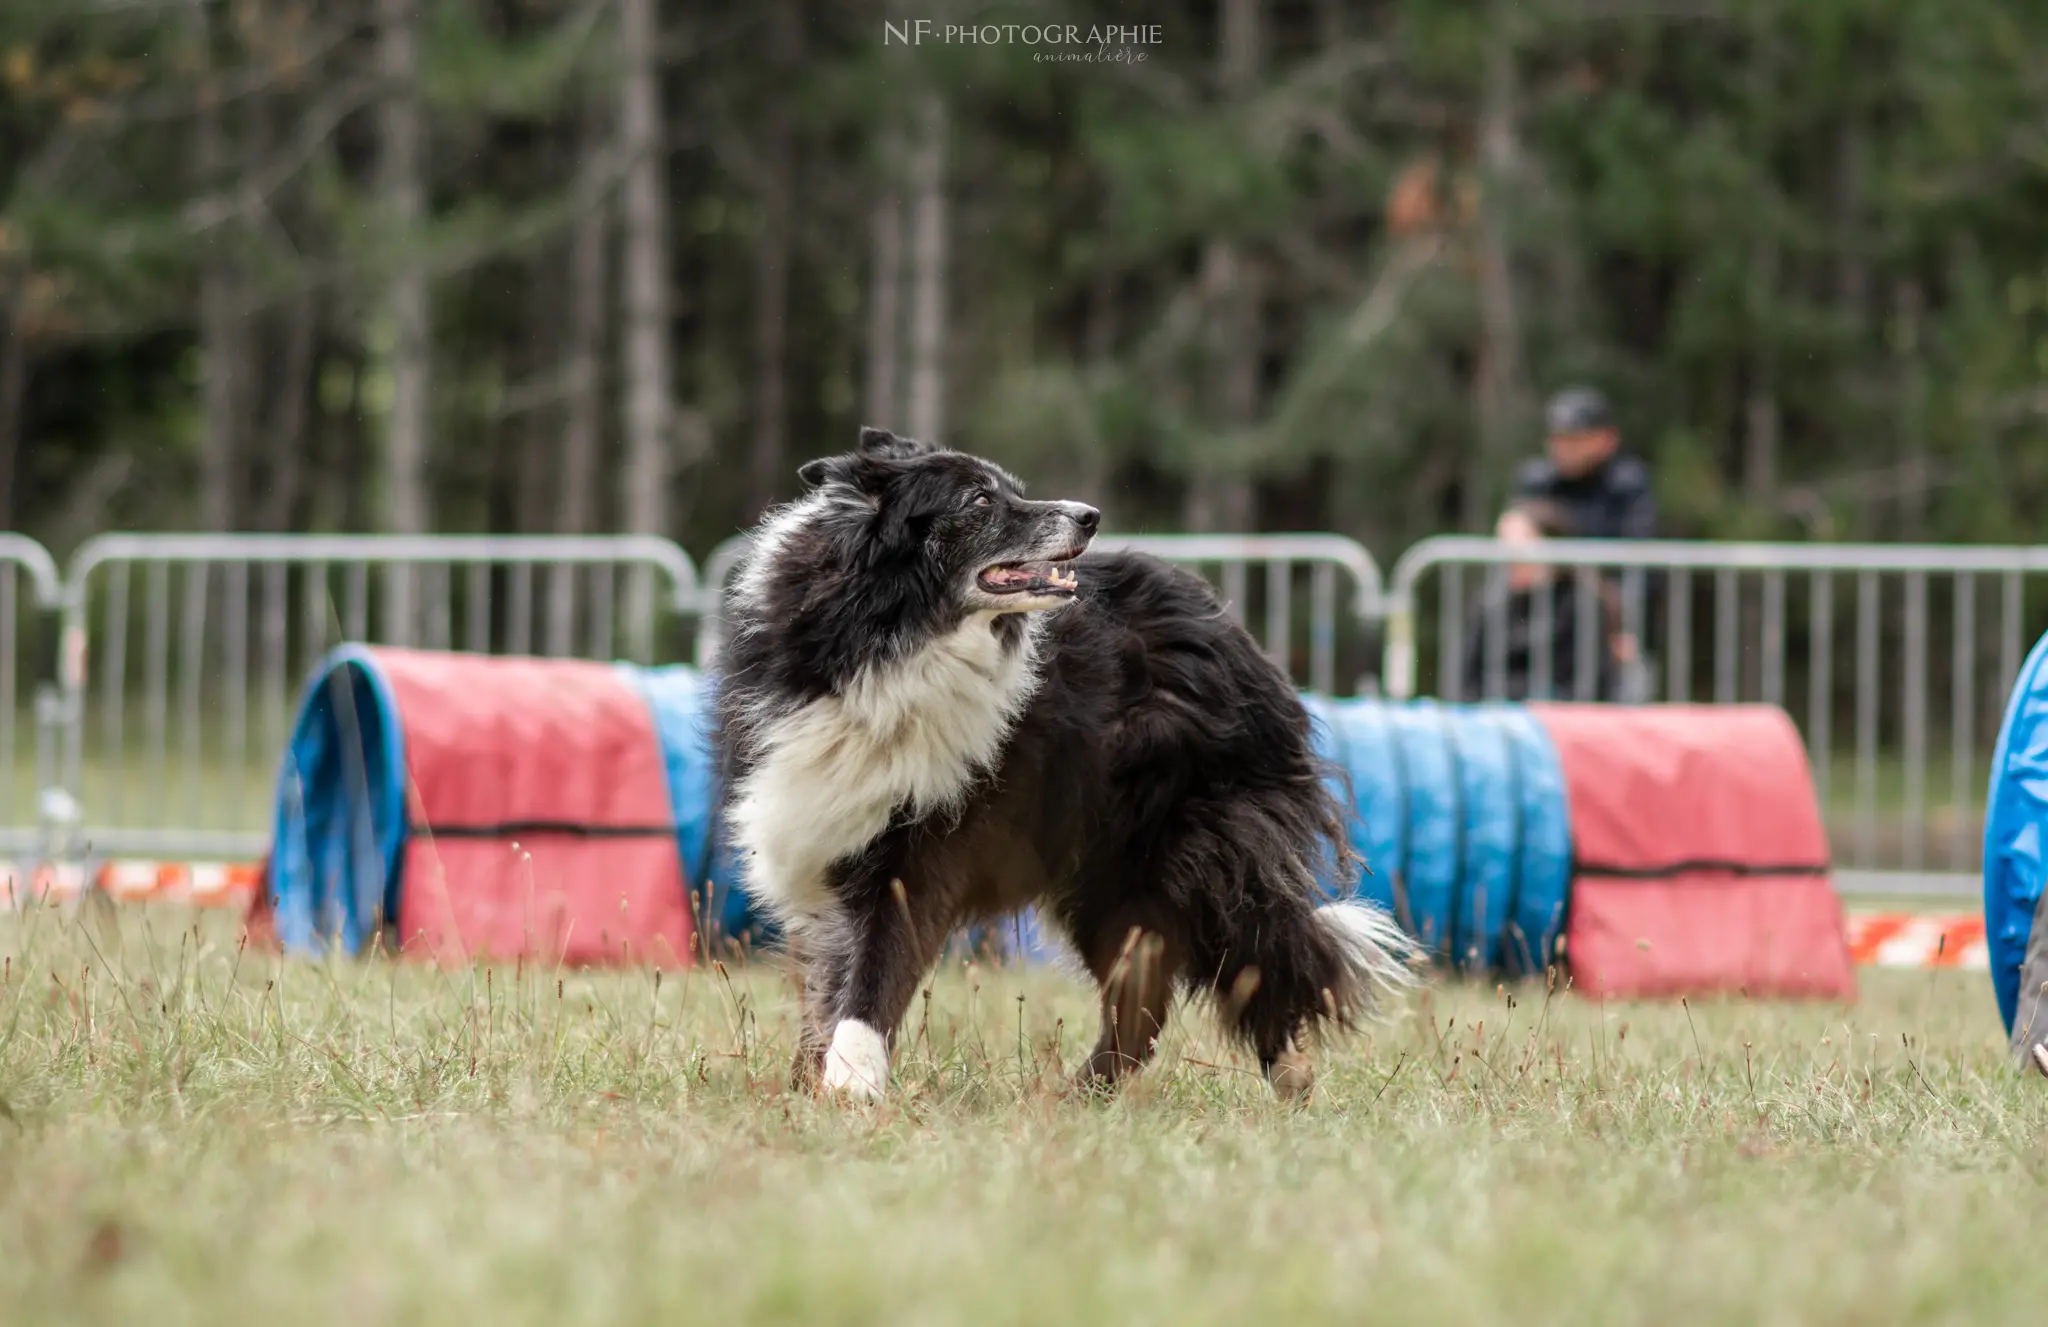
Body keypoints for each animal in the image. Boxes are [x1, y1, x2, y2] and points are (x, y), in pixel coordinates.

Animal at [708, 427, 1409, 1097]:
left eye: (1012, 491)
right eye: (979, 501)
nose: (1089, 516)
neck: (890, 645)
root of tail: (1232, 631)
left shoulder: (918, 849)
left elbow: (875, 974)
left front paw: (850, 1086)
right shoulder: (827, 837)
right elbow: (826, 984)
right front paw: (810, 1086)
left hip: (1175, 861)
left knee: (1246, 968)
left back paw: (1276, 1082)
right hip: (1109, 875)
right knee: (1146, 998)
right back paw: (1085, 1098)